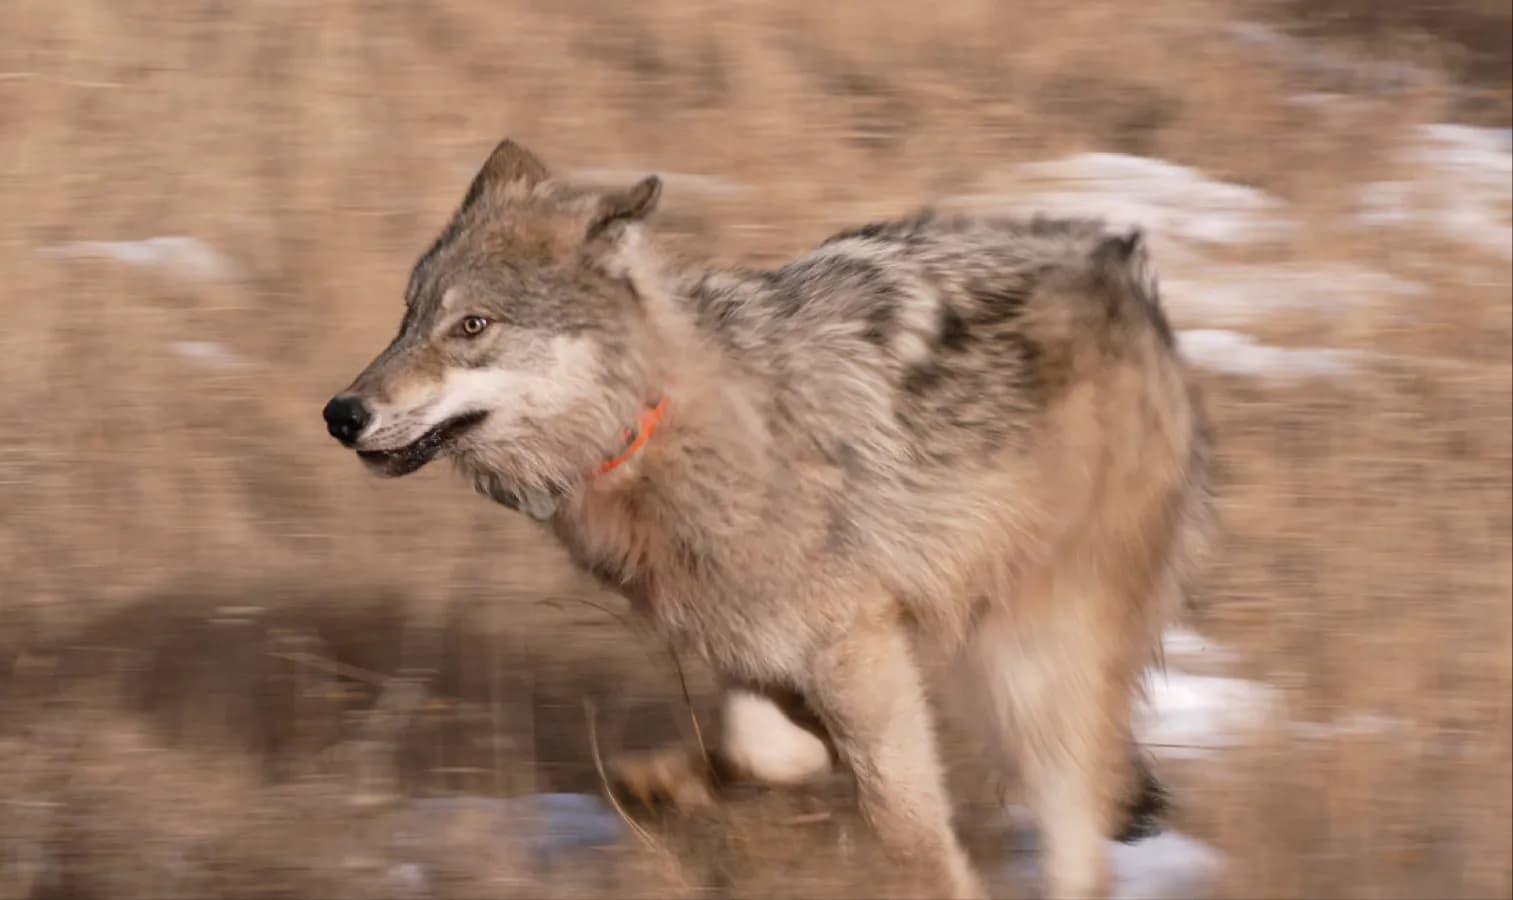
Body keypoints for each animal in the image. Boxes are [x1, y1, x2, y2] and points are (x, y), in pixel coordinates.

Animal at [322, 139, 1213, 900]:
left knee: (1078, 844)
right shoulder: (751, 644)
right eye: (406, 319)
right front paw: (678, 780)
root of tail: (1123, 267)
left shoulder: (855, 646)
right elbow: (764, 749)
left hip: (1033, 660)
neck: (658, 434)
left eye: (472, 326)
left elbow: (907, 830)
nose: (341, 413)